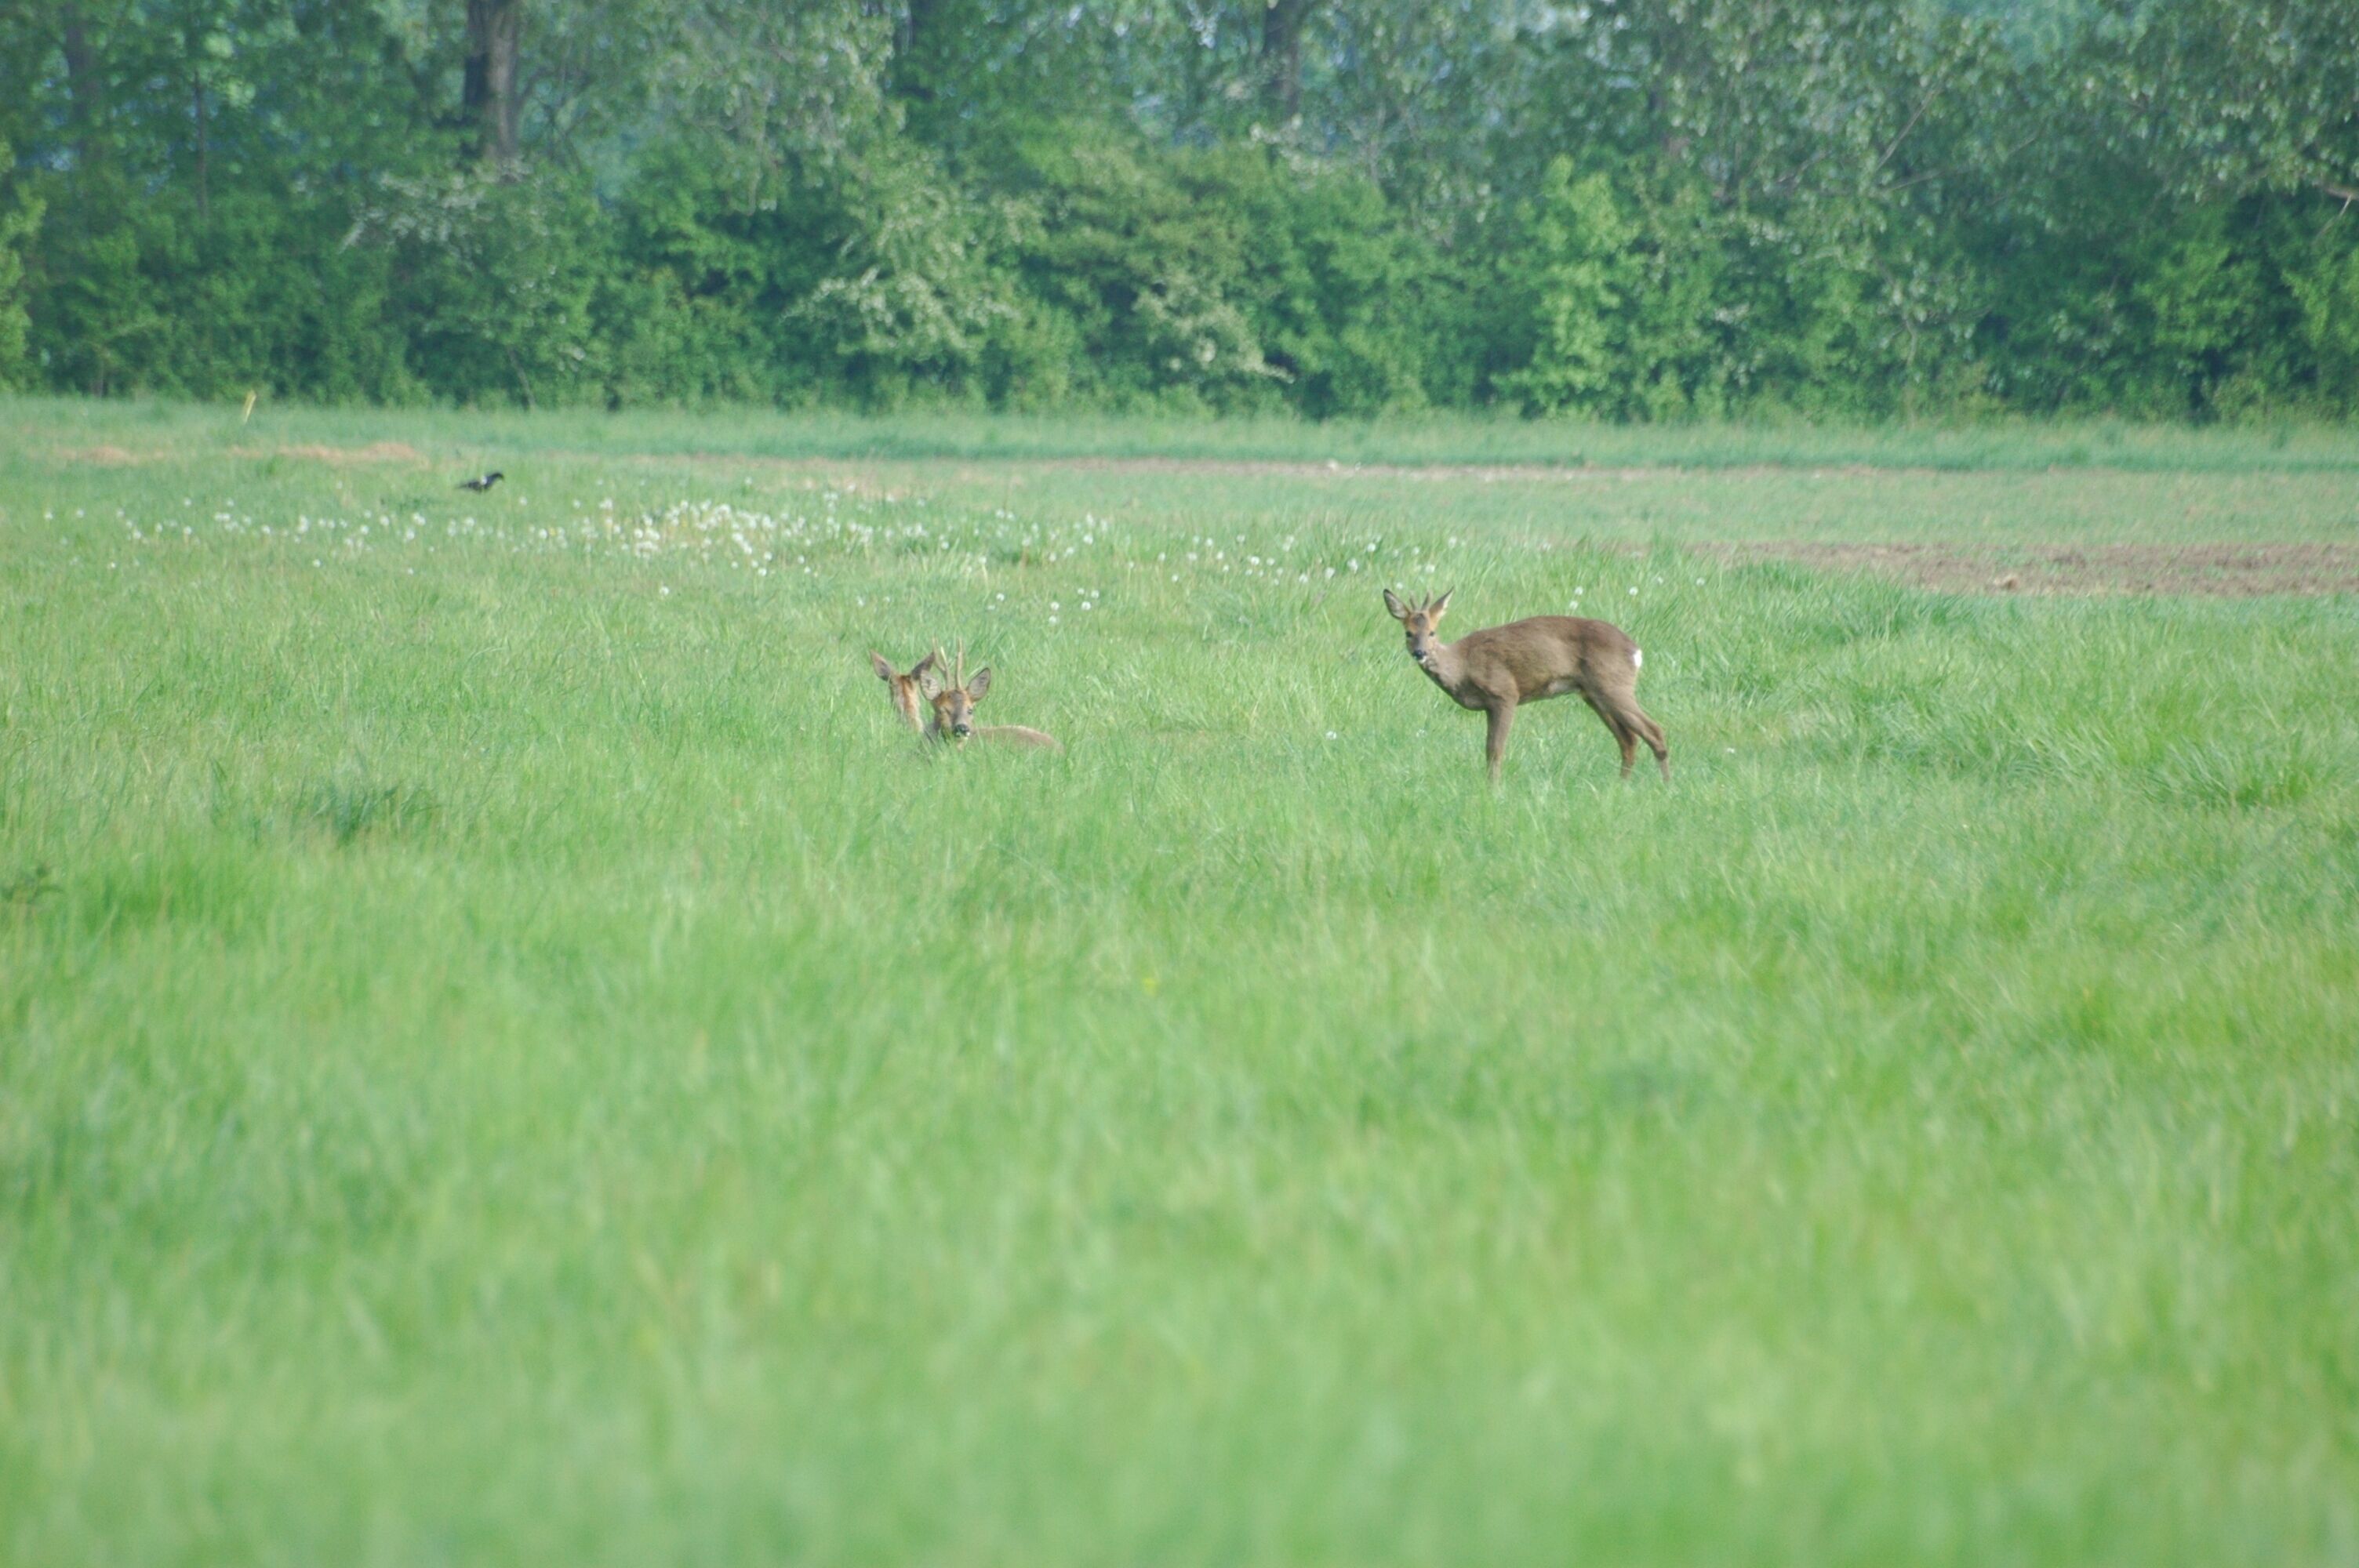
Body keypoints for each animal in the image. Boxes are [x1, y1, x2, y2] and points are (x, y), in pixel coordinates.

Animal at [1383, 588, 1667, 784]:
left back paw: (1665, 787)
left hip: (1613, 685)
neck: (1462, 665)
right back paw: (1622, 786)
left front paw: (1494, 790)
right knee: (1628, 739)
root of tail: (1636, 650)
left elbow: (1495, 750)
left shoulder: (1505, 693)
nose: (1420, 653)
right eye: (1408, 633)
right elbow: (1489, 749)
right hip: (1593, 694)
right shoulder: (1490, 706)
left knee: (1654, 731)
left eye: (1432, 632)